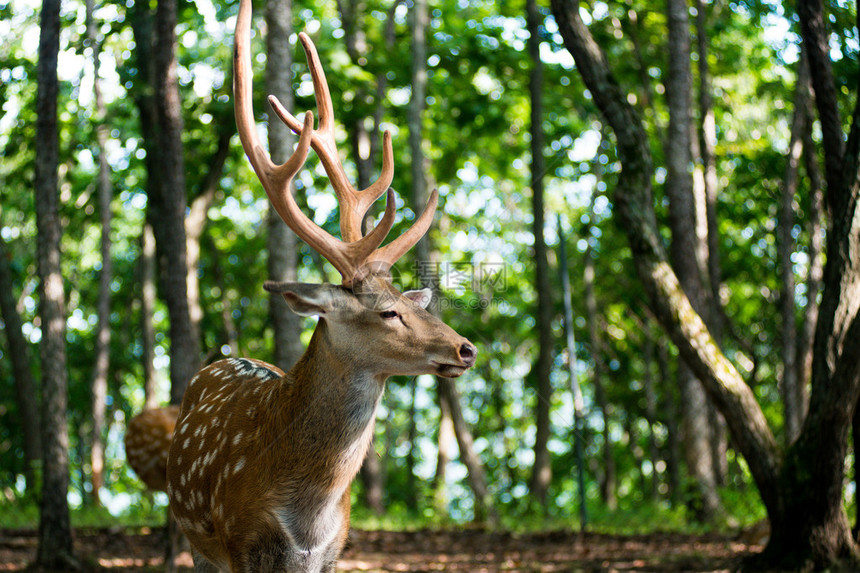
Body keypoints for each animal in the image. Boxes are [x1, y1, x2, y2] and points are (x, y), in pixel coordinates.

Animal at [162, 2, 480, 568]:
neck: (308, 518)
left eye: (413, 302)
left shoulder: (336, 550)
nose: (466, 349)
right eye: (387, 312)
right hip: (196, 537)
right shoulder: (240, 544)